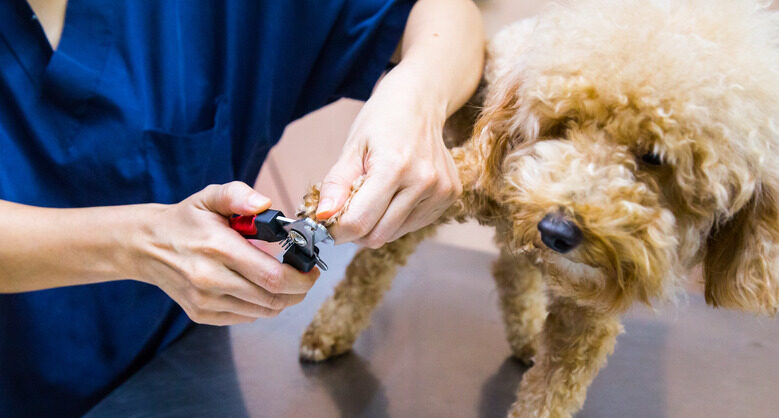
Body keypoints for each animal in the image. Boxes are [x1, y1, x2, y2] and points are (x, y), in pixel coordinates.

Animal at [296, 1, 776, 416]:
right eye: (563, 124)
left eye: (654, 157)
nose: (557, 231)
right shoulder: (480, 175)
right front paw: (332, 202)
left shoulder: (588, 315)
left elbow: (552, 393)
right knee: (377, 263)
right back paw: (331, 329)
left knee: (510, 269)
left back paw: (527, 330)